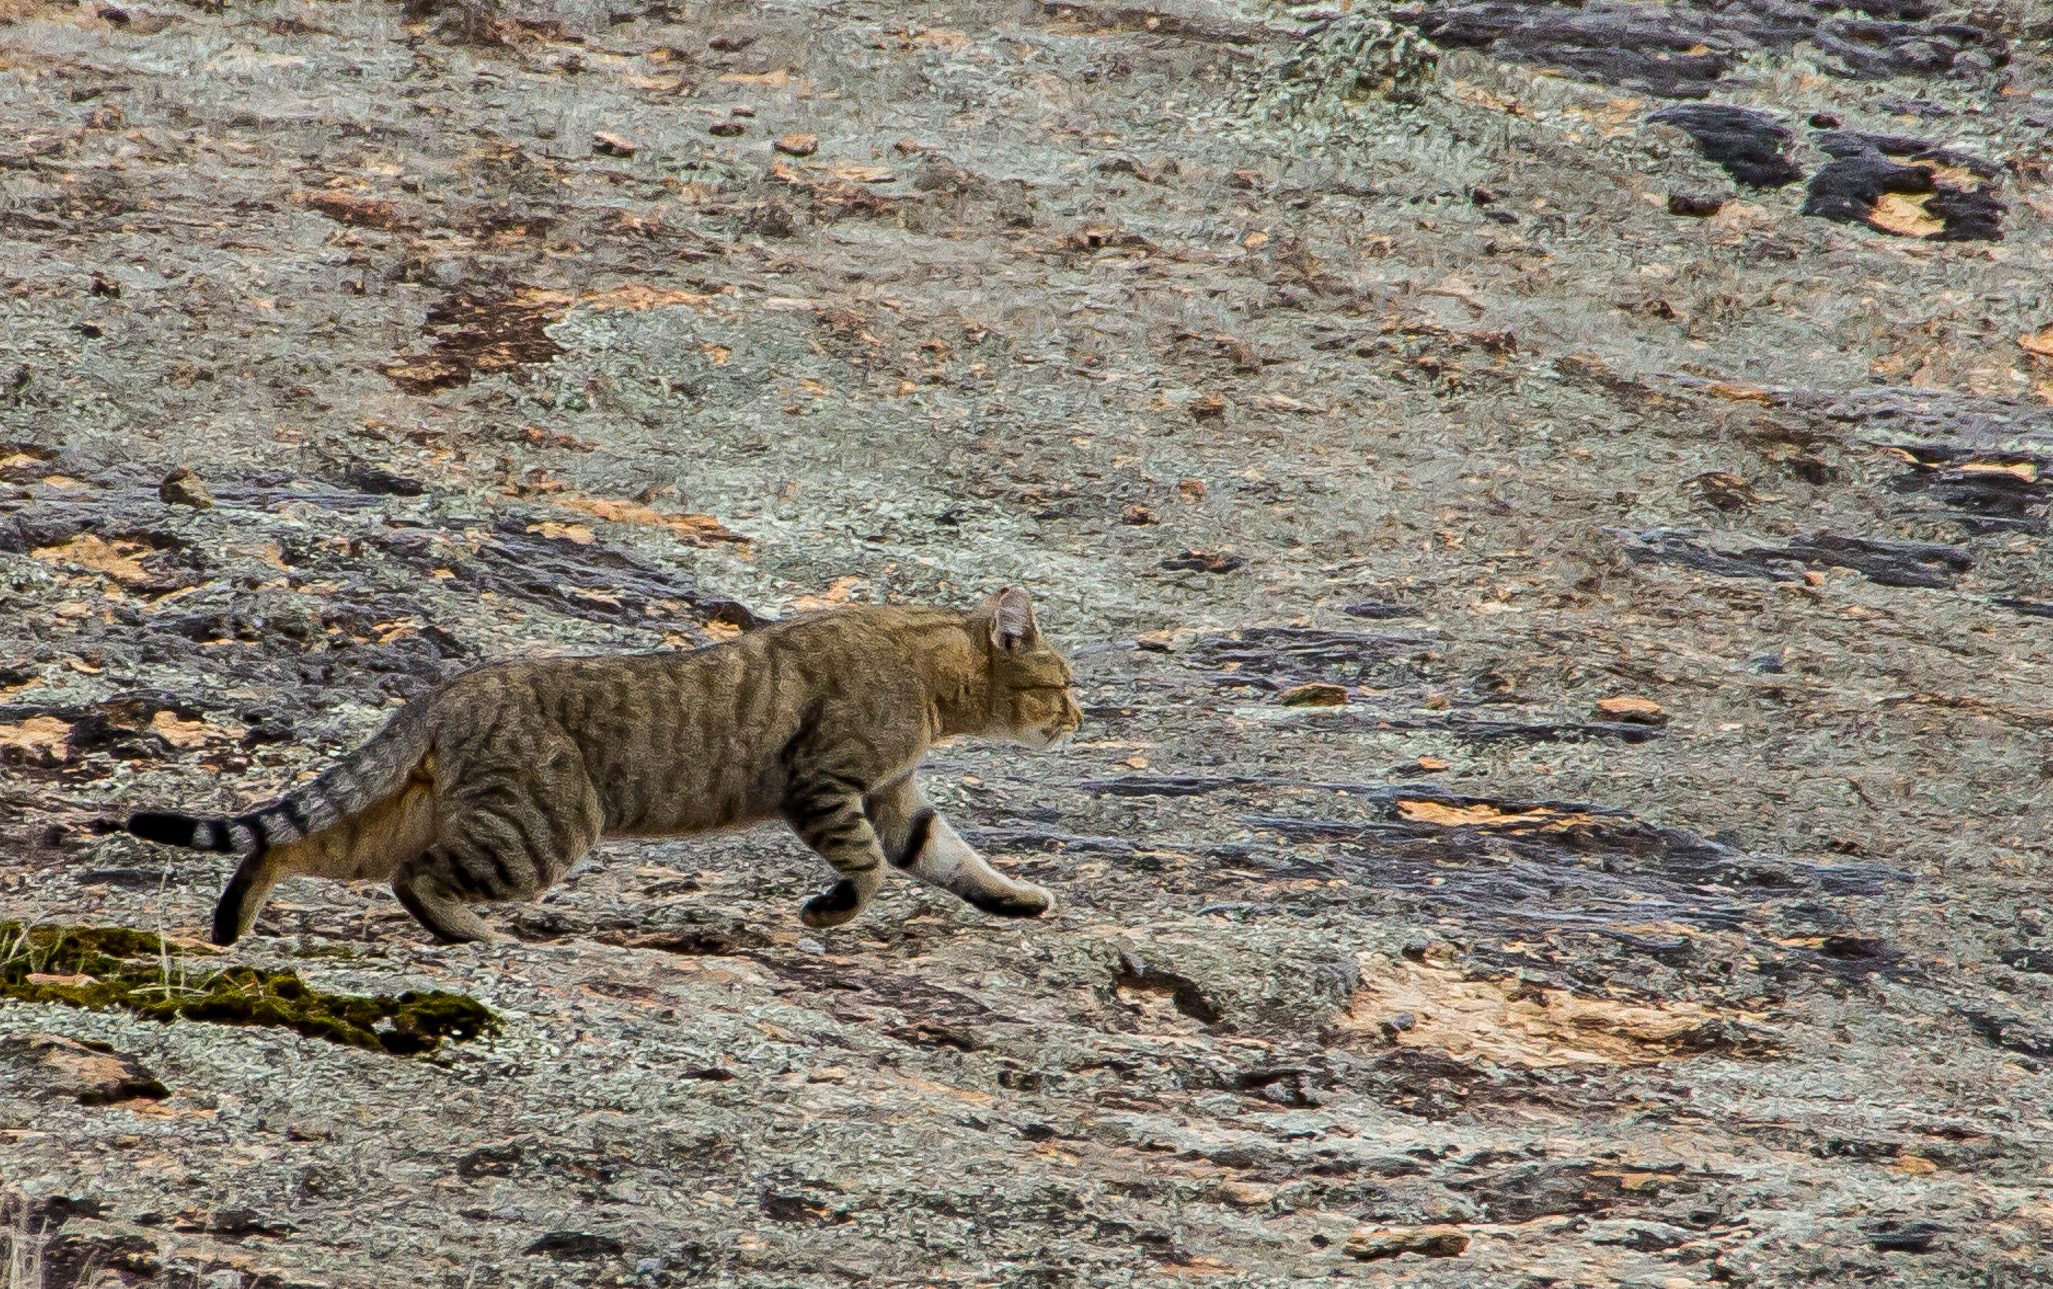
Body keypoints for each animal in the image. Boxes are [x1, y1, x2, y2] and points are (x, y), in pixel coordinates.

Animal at [128, 591, 1083, 940]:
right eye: (1063, 682)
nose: (1079, 718)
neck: (925, 673)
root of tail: (448, 687)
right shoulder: (825, 782)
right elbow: (871, 868)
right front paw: (830, 910)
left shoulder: (891, 793)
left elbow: (950, 857)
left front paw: (1015, 897)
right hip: (545, 823)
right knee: (414, 875)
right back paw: (469, 931)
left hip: (427, 809)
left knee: (293, 843)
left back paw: (233, 920)